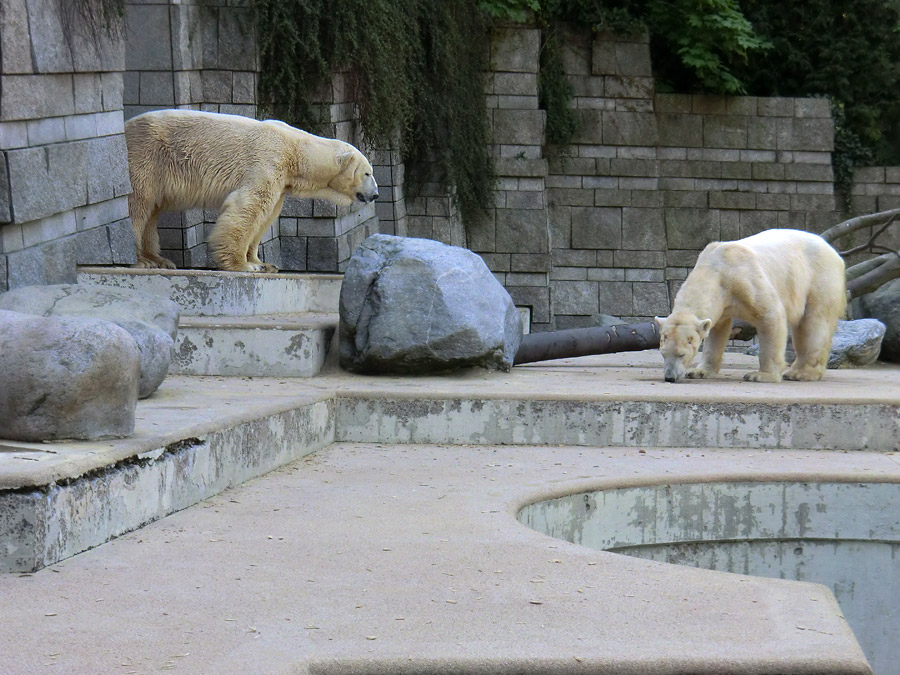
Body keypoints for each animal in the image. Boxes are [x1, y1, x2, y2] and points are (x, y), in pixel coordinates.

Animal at [125, 108, 378, 272]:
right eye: (367, 173)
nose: (375, 194)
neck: (294, 150)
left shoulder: (281, 182)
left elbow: (266, 217)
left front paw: (262, 263)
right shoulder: (267, 162)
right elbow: (248, 207)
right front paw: (243, 265)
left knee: (150, 212)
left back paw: (158, 259)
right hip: (145, 157)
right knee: (138, 204)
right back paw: (142, 260)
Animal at [652, 228, 844, 382]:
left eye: (682, 354)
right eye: (663, 353)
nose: (670, 377)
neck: (716, 269)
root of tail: (833, 251)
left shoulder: (745, 280)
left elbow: (771, 315)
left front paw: (761, 375)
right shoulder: (722, 301)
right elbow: (718, 331)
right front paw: (699, 371)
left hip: (818, 278)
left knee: (815, 323)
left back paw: (801, 373)